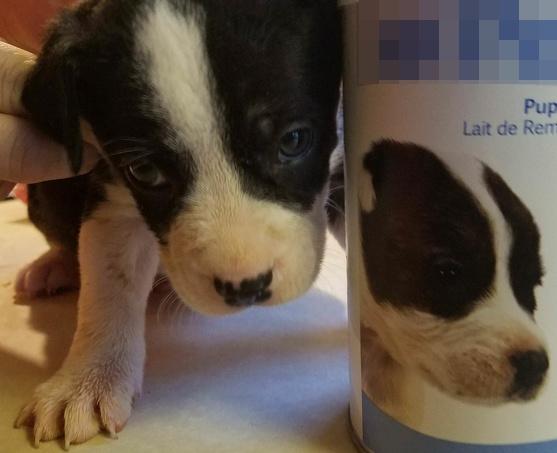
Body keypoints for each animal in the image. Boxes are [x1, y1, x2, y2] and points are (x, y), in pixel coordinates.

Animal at [13, 0, 342, 446]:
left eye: (293, 140)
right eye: (145, 172)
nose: (246, 288)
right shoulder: (112, 191)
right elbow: (109, 285)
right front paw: (86, 380)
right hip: (50, 189)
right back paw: (55, 265)